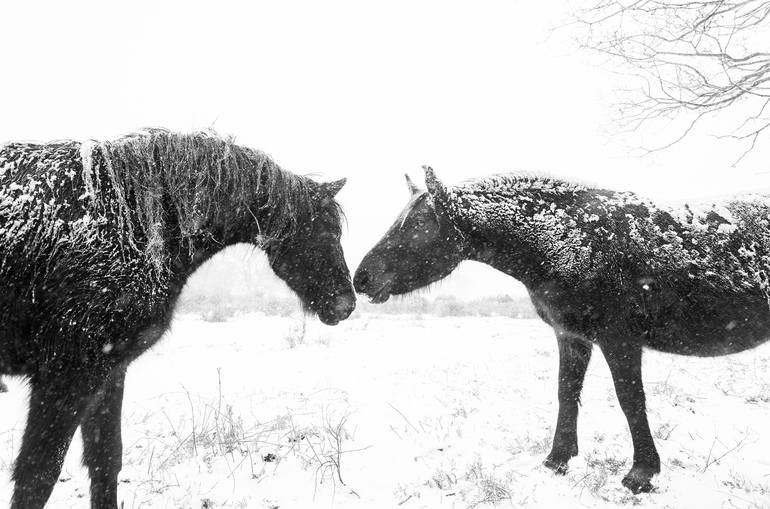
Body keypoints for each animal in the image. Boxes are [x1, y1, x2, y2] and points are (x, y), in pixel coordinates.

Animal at [0, 129, 354, 506]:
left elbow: (105, 460)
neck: (136, 227)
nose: (347, 304)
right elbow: (37, 476)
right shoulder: (66, 377)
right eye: (327, 231)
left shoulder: (109, 372)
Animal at [354, 167, 768, 492]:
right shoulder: (572, 336)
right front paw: (557, 460)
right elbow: (566, 392)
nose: (361, 278)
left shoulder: (619, 340)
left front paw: (641, 473)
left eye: (418, 224)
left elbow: (631, 400)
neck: (571, 239)